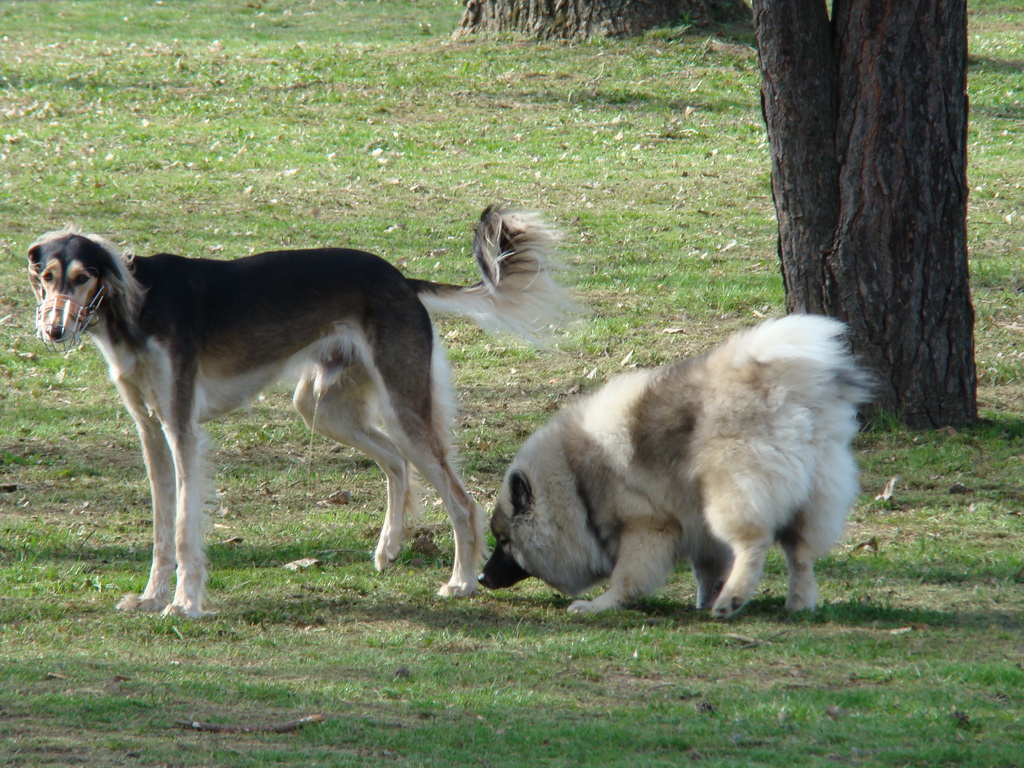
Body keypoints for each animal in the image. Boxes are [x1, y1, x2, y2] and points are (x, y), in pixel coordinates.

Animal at [28, 205, 573, 618]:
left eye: (83, 277)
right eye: (47, 277)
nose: (54, 331)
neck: (135, 307)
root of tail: (399, 277)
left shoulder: (181, 430)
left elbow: (184, 527)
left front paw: (184, 604)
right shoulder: (150, 430)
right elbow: (163, 526)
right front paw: (151, 597)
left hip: (401, 405)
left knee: (460, 500)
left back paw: (461, 582)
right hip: (321, 406)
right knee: (396, 462)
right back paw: (390, 547)